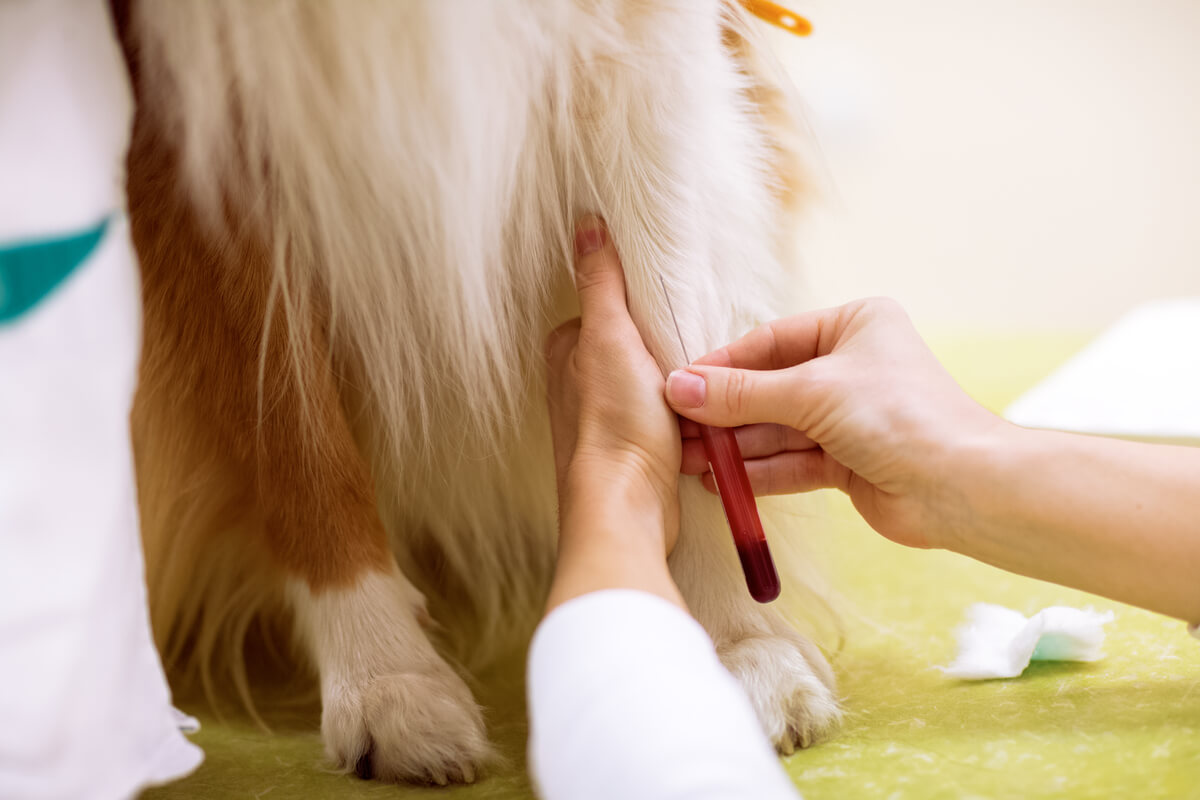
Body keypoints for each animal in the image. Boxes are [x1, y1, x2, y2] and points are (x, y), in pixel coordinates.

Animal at [114, 0, 844, 786]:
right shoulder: (190, 110)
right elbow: (294, 436)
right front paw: (386, 678)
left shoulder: (645, 46)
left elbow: (677, 342)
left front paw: (735, 636)